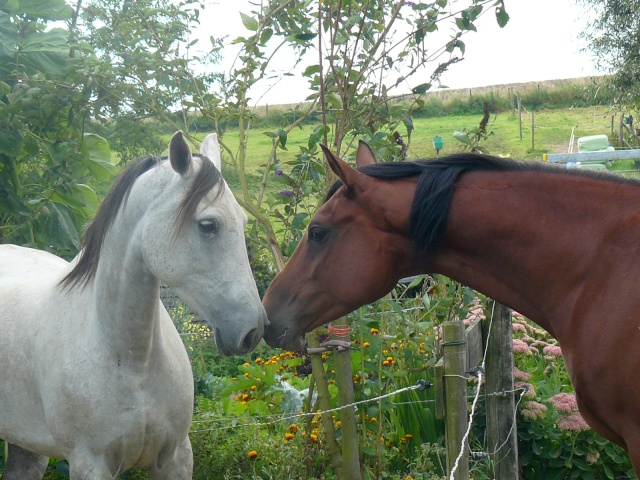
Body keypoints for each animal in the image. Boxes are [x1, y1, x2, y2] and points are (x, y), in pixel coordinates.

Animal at [0, 132, 268, 480]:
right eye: (208, 225)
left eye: (244, 221)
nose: (254, 329)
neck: (131, 361)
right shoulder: (91, 464)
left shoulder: (176, 457)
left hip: (26, 447)